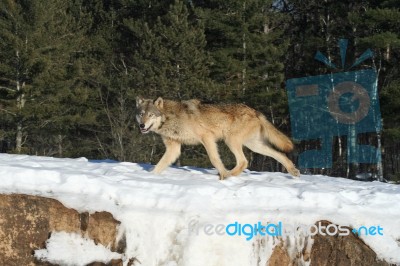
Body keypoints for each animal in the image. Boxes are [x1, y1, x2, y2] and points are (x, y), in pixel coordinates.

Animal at [136, 96, 298, 180]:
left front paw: (223, 172)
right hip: (254, 146)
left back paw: (227, 176)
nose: (142, 125)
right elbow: (160, 165)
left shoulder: (207, 137)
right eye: (141, 114)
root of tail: (255, 111)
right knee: (280, 154)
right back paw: (294, 171)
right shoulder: (173, 148)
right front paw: (149, 177)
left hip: (231, 141)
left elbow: (214, 159)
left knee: (243, 162)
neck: (171, 118)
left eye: (151, 115)